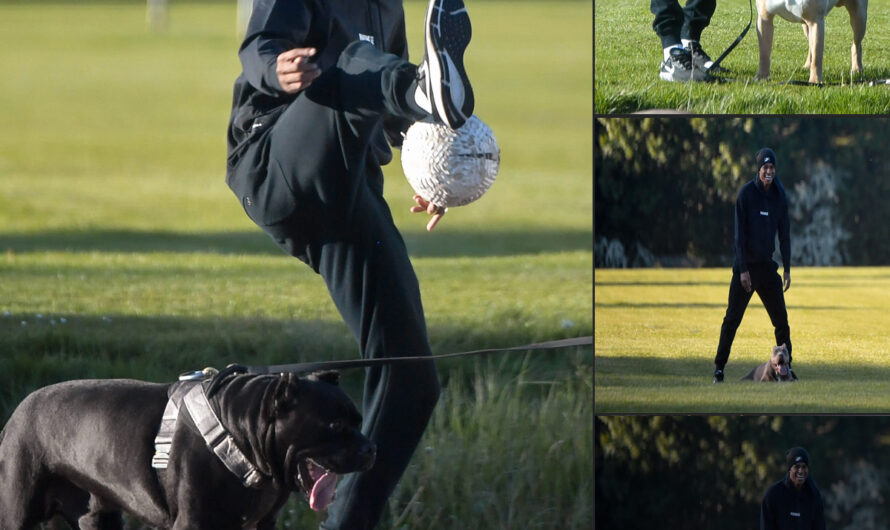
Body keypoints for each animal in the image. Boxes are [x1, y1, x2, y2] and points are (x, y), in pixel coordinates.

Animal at [0, 368, 372, 528]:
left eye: (359, 421)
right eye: (335, 427)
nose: (371, 449)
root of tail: (15, 414)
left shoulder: (263, 523)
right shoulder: (193, 523)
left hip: (96, 517)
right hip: (17, 511)